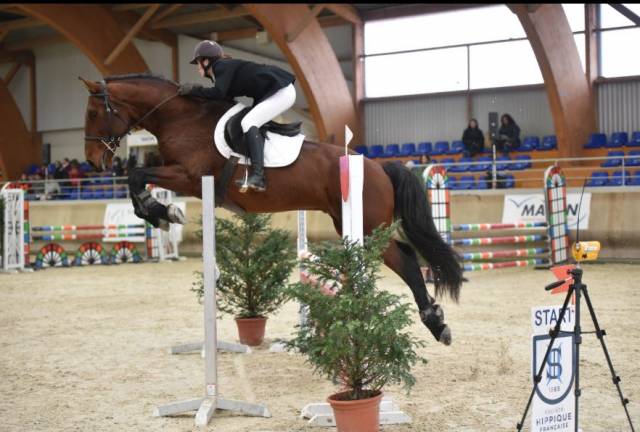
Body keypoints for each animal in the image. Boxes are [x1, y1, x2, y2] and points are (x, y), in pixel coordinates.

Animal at [80, 73, 462, 344]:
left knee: (408, 262)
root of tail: (380, 167)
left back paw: (435, 323)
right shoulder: (187, 180)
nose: (94, 162)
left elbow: (136, 175)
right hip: (352, 225)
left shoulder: (189, 176)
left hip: (366, 227)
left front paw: (162, 212)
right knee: (406, 259)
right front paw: (160, 213)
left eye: (94, 113)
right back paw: (436, 322)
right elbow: (137, 179)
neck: (180, 118)